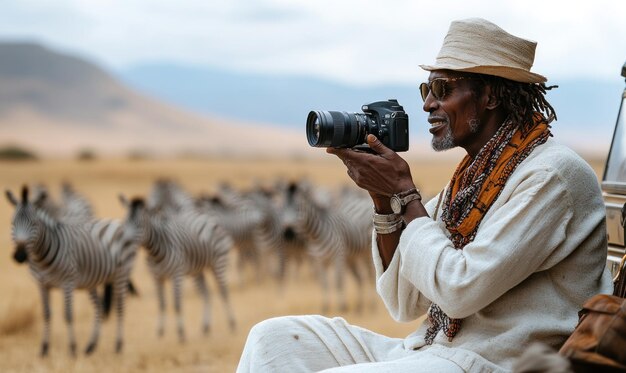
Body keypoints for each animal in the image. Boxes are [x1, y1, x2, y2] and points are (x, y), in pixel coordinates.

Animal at [6, 186, 138, 354]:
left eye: (34, 223)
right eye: (12, 223)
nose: (20, 256)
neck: (41, 259)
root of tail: (116, 222)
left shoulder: (67, 282)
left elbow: (68, 315)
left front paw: (72, 349)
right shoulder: (42, 284)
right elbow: (46, 314)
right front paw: (44, 349)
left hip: (122, 274)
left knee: (120, 307)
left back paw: (118, 346)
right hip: (92, 280)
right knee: (99, 306)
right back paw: (91, 346)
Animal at [118, 193, 235, 342]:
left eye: (139, 225)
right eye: (125, 222)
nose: (124, 244)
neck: (155, 253)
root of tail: (206, 215)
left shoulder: (176, 275)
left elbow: (177, 304)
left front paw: (181, 333)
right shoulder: (156, 277)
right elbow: (161, 304)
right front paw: (160, 332)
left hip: (219, 262)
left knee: (223, 291)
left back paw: (232, 323)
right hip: (197, 270)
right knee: (206, 294)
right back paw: (205, 327)